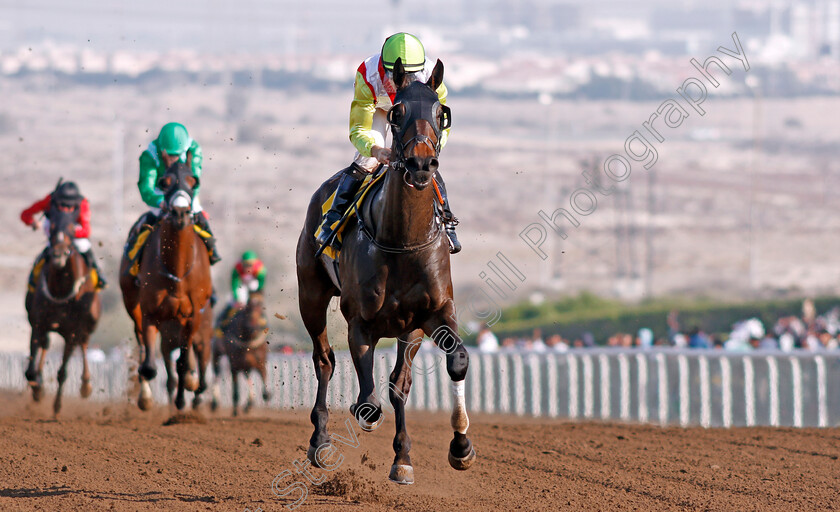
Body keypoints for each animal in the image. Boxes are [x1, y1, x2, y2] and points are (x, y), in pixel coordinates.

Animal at [24, 202, 101, 414]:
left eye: (71, 229)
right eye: (51, 227)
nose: (58, 256)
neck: (60, 290)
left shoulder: (72, 331)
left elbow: (63, 372)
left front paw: (57, 406)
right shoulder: (39, 324)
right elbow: (31, 371)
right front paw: (38, 390)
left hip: (87, 324)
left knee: (84, 344)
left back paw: (85, 386)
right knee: (45, 346)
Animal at [120, 163, 215, 412]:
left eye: (193, 181)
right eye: (164, 182)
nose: (180, 212)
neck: (178, 272)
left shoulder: (193, 316)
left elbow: (182, 363)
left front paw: (185, 391)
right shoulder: (150, 313)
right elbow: (149, 366)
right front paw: (147, 397)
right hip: (133, 304)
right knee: (142, 345)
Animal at [296, 58, 476, 482]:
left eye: (441, 113)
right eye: (396, 113)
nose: (422, 164)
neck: (402, 241)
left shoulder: (432, 314)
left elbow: (447, 365)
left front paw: (455, 448)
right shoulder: (360, 322)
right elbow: (367, 403)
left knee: (396, 383)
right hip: (310, 295)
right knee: (324, 360)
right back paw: (320, 442)